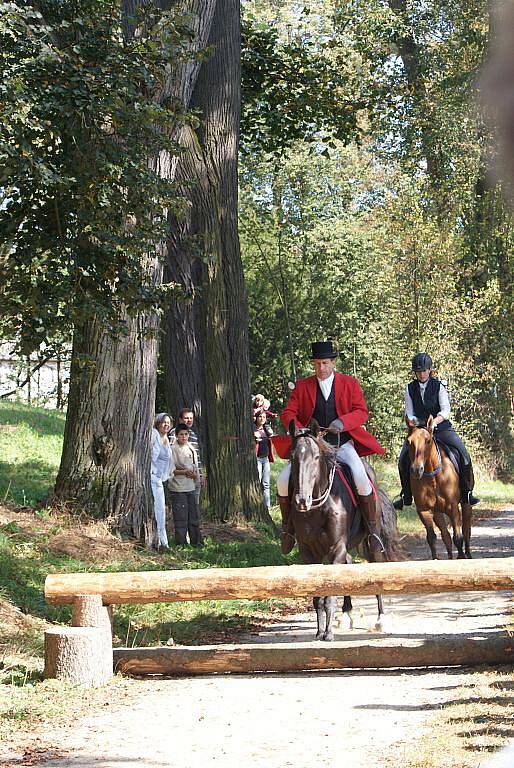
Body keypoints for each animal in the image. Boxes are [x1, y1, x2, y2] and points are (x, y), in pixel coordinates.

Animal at [288, 424, 400, 640]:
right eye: (292, 457)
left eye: (316, 457)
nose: (301, 501)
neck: (318, 507)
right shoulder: (309, 553)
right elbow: (318, 596)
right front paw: (319, 631)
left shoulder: (336, 547)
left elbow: (330, 593)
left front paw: (328, 633)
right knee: (348, 565)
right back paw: (346, 614)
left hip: (372, 543)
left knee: (375, 568)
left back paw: (380, 619)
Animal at [406, 416, 470, 560]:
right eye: (409, 441)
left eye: (428, 440)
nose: (416, 470)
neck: (433, 477)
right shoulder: (424, 510)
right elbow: (432, 538)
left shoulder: (453, 507)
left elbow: (458, 537)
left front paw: (461, 557)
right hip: (437, 512)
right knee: (446, 535)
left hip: (465, 504)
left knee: (466, 529)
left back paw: (468, 554)